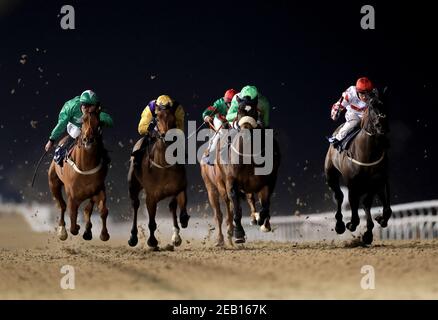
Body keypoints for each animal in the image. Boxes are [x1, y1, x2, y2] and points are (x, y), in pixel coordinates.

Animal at [47, 111, 109, 241]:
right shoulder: (72, 196)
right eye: (83, 120)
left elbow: (102, 211)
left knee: (87, 209)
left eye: (98, 122)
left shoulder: (99, 189)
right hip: (53, 183)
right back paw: (62, 230)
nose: (88, 139)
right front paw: (75, 228)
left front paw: (103, 234)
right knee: (62, 205)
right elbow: (73, 223)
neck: (86, 166)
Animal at [126, 104, 188, 249]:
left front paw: (177, 234)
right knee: (135, 205)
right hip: (133, 186)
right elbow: (152, 222)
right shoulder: (151, 196)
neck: (163, 164)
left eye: (173, 119)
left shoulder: (179, 187)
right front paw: (152, 241)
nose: (167, 136)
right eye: (157, 119)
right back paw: (133, 237)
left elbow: (175, 205)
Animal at [324, 90, 392, 245]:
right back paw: (340, 225)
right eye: (371, 106)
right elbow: (354, 204)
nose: (382, 126)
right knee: (339, 196)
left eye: (385, 103)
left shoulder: (377, 180)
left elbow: (370, 204)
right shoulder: (352, 183)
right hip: (330, 174)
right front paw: (351, 224)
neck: (367, 153)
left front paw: (370, 230)